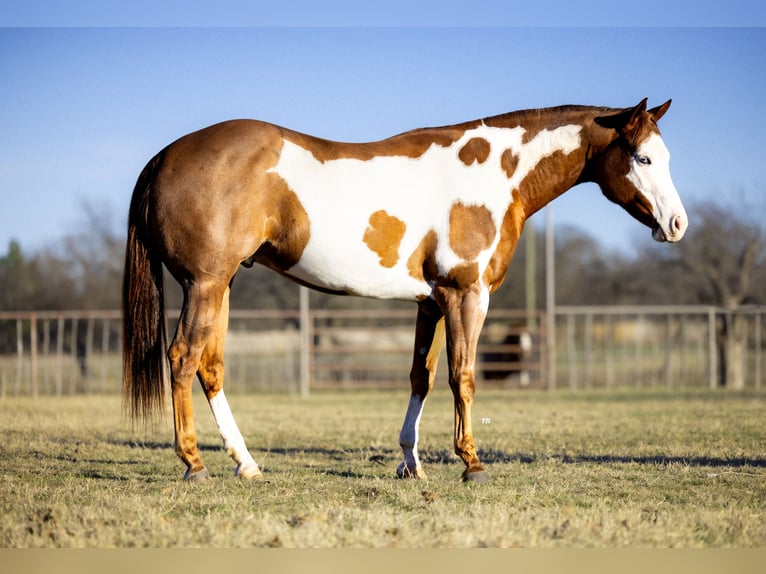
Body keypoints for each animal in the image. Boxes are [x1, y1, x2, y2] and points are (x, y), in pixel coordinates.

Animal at [124, 100, 688, 486]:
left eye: (664, 157)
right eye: (642, 158)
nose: (677, 225)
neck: (493, 173)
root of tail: (165, 156)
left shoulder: (431, 303)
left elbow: (423, 377)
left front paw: (411, 462)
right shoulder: (467, 295)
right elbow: (463, 377)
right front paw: (472, 463)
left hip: (222, 286)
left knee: (210, 367)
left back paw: (247, 464)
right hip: (204, 284)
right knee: (182, 357)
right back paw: (194, 464)